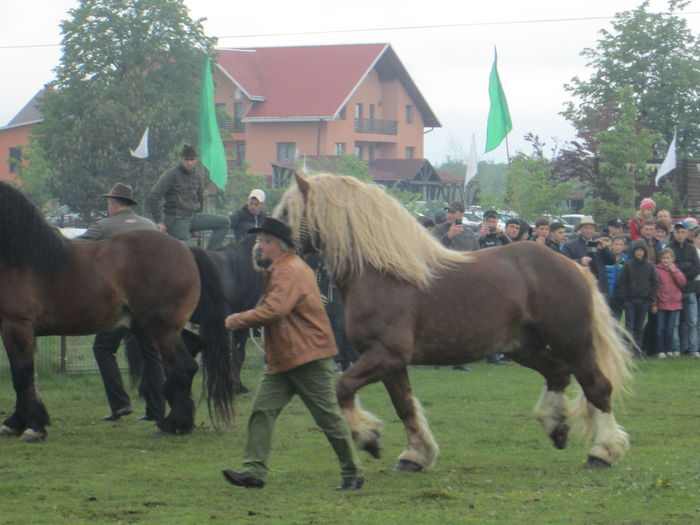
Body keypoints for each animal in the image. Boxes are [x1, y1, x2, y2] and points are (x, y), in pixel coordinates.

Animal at [0, 182, 235, 440]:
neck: (23, 259)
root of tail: (185, 248)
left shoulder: (17, 326)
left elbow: (22, 374)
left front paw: (33, 426)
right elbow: (25, 376)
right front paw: (18, 422)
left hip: (161, 327)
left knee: (183, 366)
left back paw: (170, 423)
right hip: (157, 325)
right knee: (191, 350)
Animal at [274, 172, 636, 470]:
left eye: (286, 211)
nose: (265, 255)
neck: (382, 274)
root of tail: (573, 265)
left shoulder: (385, 355)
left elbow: (344, 387)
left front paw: (369, 438)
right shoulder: (391, 362)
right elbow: (404, 406)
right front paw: (416, 455)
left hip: (572, 341)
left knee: (597, 387)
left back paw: (603, 452)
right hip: (524, 347)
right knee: (558, 374)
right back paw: (555, 425)